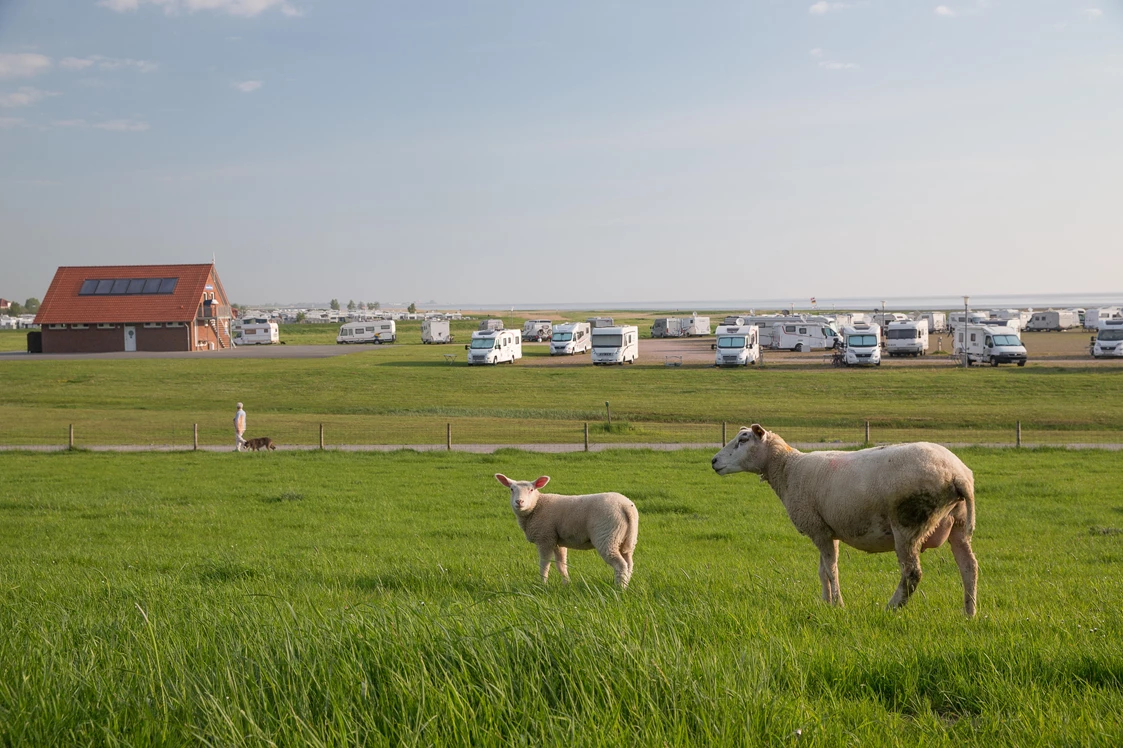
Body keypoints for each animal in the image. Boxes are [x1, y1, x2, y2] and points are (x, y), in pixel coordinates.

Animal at [494, 471, 642, 588]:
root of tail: (625, 506)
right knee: (629, 563)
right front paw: (566, 584)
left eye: (531, 490)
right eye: (511, 489)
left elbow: (544, 565)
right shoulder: (557, 541)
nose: (519, 502)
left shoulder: (545, 538)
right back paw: (626, 585)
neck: (536, 507)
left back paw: (619, 589)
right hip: (626, 538)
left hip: (606, 535)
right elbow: (561, 565)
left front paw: (543, 585)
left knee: (620, 565)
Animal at [714, 422, 979, 615]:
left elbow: (832, 570)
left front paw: (838, 605)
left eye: (743, 440)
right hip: (958, 523)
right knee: (969, 567)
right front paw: (825, 603)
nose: (713, 461)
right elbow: (822, 570)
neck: (788, 469)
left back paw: (890, 608)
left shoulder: (817, 527)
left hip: (908, 524)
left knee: (912, 573)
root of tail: (957, 474)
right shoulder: (827, 529)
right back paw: (969, 613)